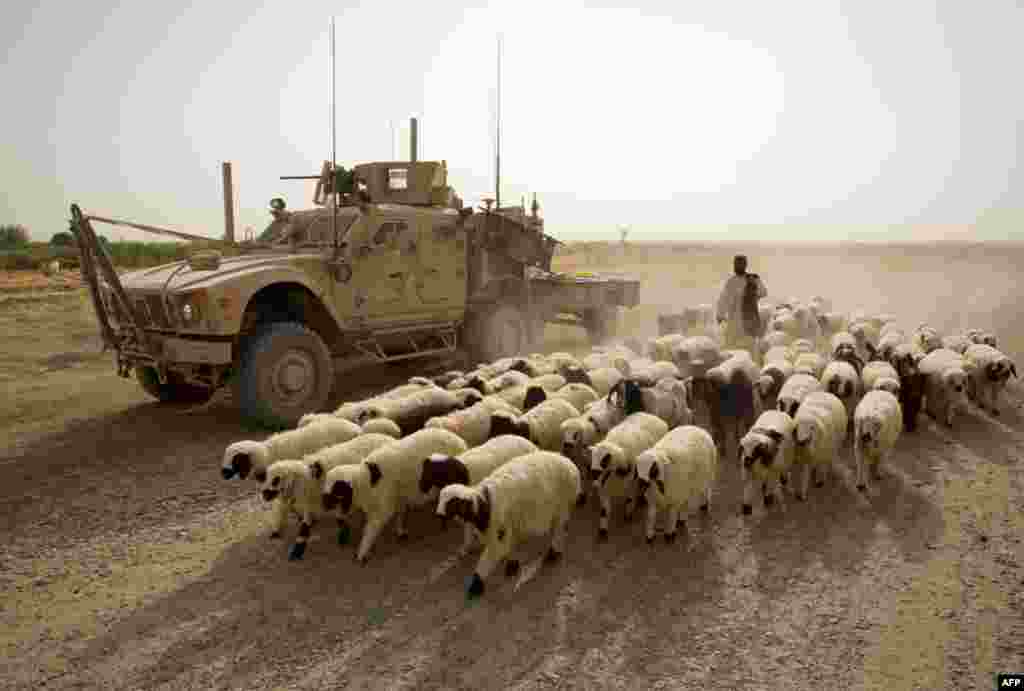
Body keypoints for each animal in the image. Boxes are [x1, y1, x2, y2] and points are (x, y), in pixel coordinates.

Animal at [260, 432, 395, 560]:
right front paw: (297, 550)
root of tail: (388, 438)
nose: (264, 494)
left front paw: (344, 537)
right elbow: (305, 527)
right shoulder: (313, 503)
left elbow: (337, 519)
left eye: (276, 480)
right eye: (267, 477)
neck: (309, 481)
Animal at [319, 429, 468, 565]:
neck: (366, 481)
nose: (325, 506)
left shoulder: (383, 508)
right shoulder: (398, 497)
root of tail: (460, 441)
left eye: (337, 493)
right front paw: (400, 531)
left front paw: (361, 553)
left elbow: (370, 530)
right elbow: (401, 513)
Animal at [436, 450, 585, 597]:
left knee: (559, 530)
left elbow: (489, 557)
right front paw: (512, 566)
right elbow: (510, 547)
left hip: (562, 506)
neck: (484, 504)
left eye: (452, 504)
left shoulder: (500, 531)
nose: (438, 514)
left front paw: (475, 586)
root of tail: (570, 464)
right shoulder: (510, 526)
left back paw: (553, 554)